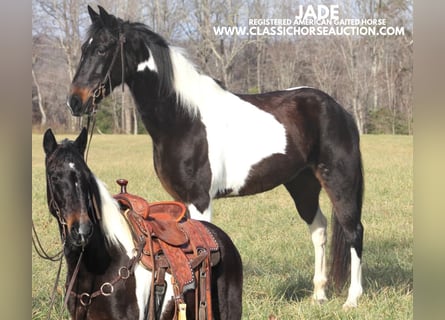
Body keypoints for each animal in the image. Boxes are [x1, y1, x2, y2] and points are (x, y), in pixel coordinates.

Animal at [67, 5, 364, 308]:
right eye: (84, 48)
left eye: (102, 48)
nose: (75, 101)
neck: (184, 117)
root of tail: (339, 109)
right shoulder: (181, 202)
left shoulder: (200, 200)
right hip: (302, 184)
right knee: (319, 229)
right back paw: (319, 294)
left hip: (339, 180)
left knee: (354, 231)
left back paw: (352, 299)